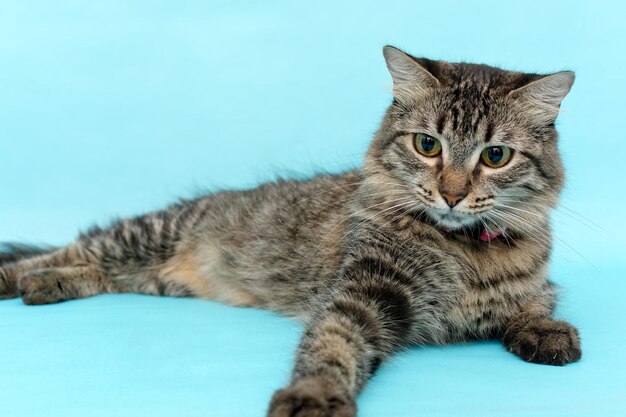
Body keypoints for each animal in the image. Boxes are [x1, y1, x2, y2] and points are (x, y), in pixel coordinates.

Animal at [0, 45, 580, 416]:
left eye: (495, 156)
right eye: (427, 146)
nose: (453, 194)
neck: (465, 250)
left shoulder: (532, 285)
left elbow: (534, 305)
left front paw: (546, 331)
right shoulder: (368, 288)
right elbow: (334, 342)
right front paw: (314, 397)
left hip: (155, 277)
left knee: (98, 270)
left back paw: (47, 285)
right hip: (148, 233)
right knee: (71, 247)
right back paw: (19, 278)